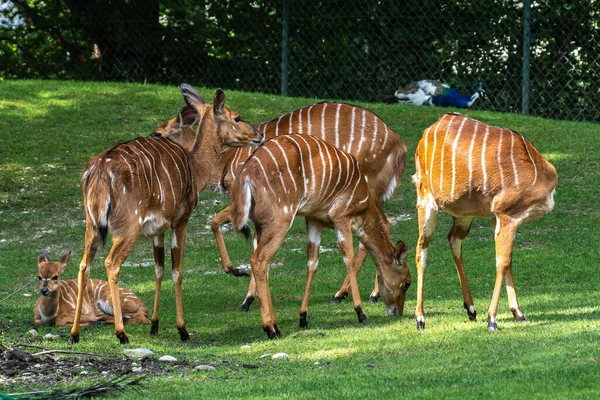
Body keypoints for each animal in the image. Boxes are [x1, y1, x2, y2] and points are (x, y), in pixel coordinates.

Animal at [70, 86, 262, 344]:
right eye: (237, 117)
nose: (258, 134)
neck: (196, 168)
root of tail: (98, 170)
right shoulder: (181, 219)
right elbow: (177, 271)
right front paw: (182, 329)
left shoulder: (157, 229)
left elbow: (158, 270)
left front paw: (155, 325)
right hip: (128, 226)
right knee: (111, 262)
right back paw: (121, 333)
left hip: (92, 224)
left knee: (83, 265)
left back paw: (74, 334)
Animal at [155, 99, 408, 310]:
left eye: (159, 132)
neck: (225, 163)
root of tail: (399, 147)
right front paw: (250, 296)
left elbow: (219, 223)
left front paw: (241, 285)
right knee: (382, 227)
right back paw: (369, 294)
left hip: (363, 194)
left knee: (377, 229)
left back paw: (344, 294)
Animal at [230, 134, 412, 338]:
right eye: (407, 283)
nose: (397, 311)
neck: (364, 204)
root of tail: (247, 173)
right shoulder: (341, 216)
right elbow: (348, 258)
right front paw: (360, 313)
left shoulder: (314, 219)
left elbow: (312, 263)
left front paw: (303, 317)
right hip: (280, 218)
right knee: (259, 260)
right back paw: (270, 328)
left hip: (260, 224)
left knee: (263, 261)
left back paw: (274, 325)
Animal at [412, 111, 556, 332]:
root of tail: (431, 128)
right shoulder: (507, 215)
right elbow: (503, 262)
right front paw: (492, 320)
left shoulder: (497, 218)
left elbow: (506, 260)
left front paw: (518, 313)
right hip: (426, 198)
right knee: (422, 249)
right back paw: (420, 319)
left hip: (465, 211)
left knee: (453, 239)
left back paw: (471, 309)